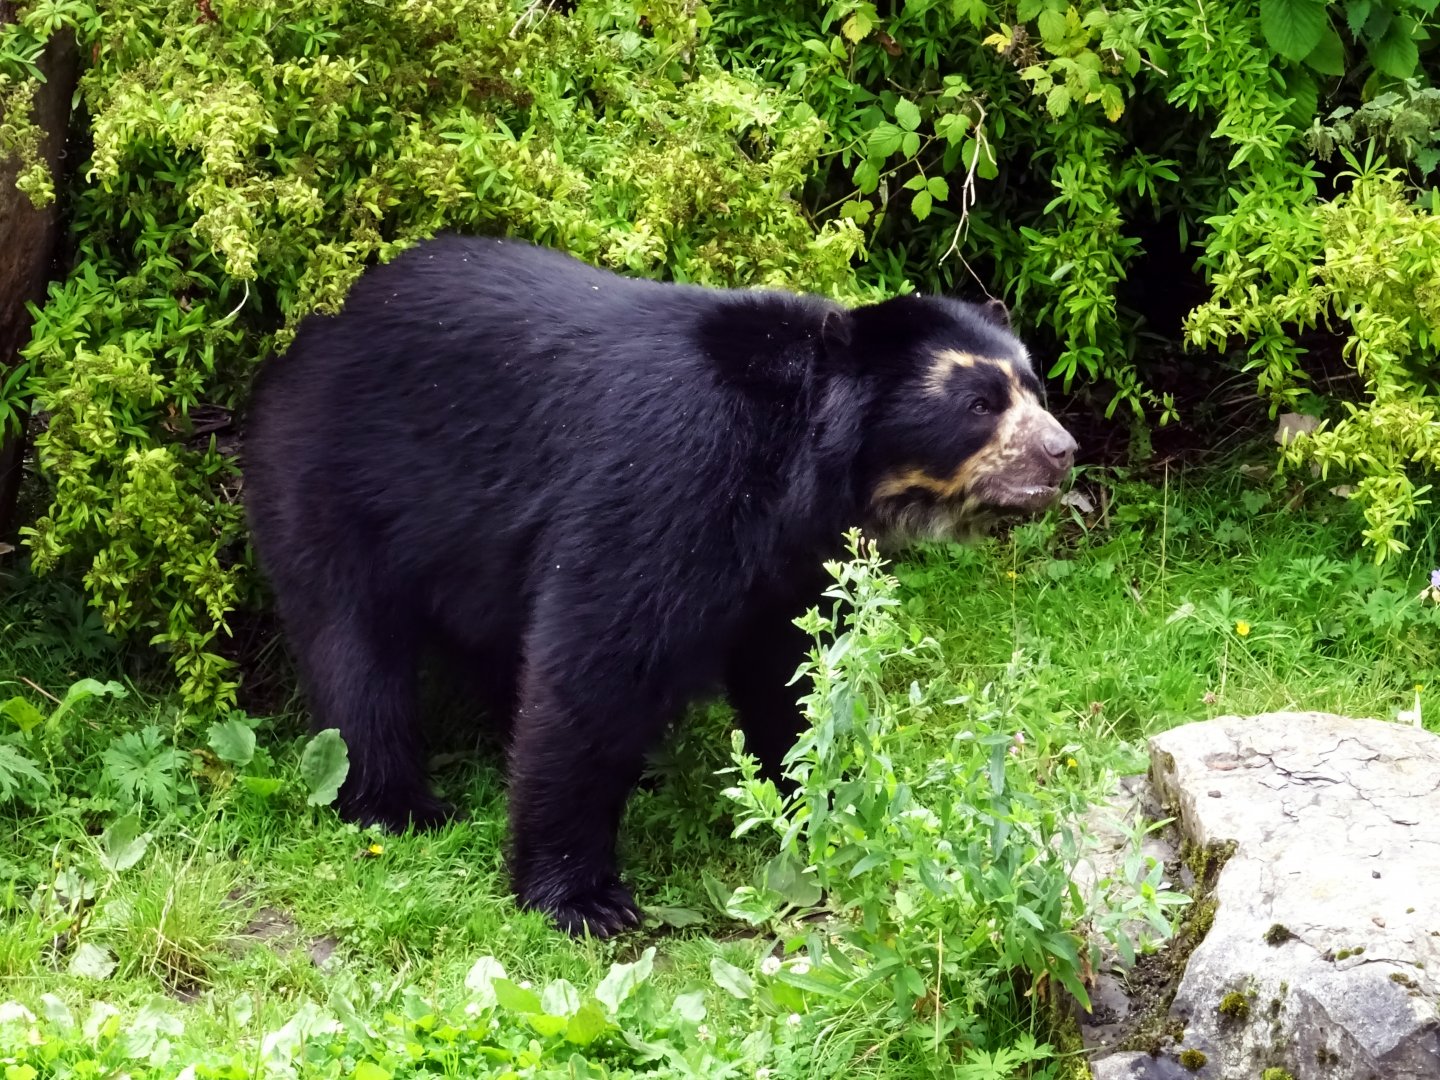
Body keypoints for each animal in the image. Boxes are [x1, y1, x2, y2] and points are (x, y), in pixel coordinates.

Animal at [242, 235, 1077, 937]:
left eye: (1034, 388)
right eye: (979, 404)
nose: (1063, 452)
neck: (798, 457)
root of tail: (302, 340)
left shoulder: (796, 549)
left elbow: (790, 669)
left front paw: (822, 803)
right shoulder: (672, 470)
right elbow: (599, 658)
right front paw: (582, 899)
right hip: (331, 477)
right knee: (353, 648)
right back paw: (398, 805)